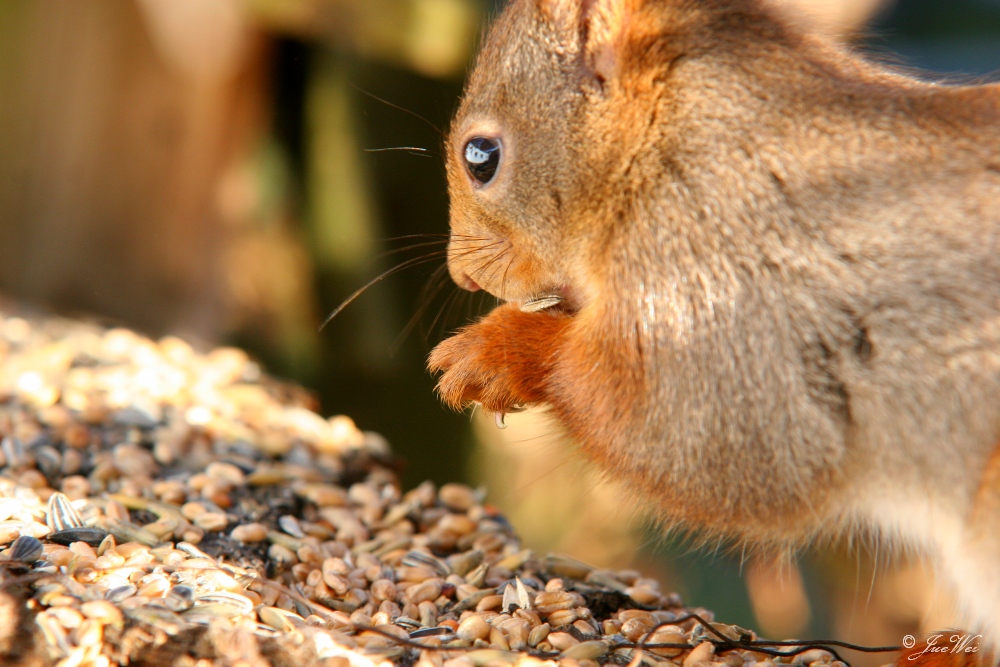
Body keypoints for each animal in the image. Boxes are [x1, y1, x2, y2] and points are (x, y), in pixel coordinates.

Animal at [426, 0, 1000, 652]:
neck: (667, 148)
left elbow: (698, 440)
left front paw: (493, 352)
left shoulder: (725, 292)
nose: (462, 274)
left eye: (481, 157)